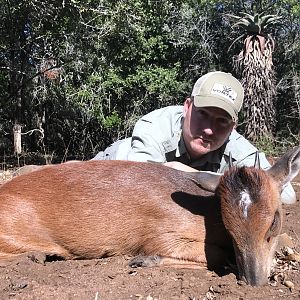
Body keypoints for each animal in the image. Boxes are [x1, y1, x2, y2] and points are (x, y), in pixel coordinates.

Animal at [0, 145, 300, 286]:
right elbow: (217, 256)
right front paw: (143, 260)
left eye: (274, 220)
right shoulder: (160, 235)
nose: (254, 282)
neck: (205, 212)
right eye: (229, 226)